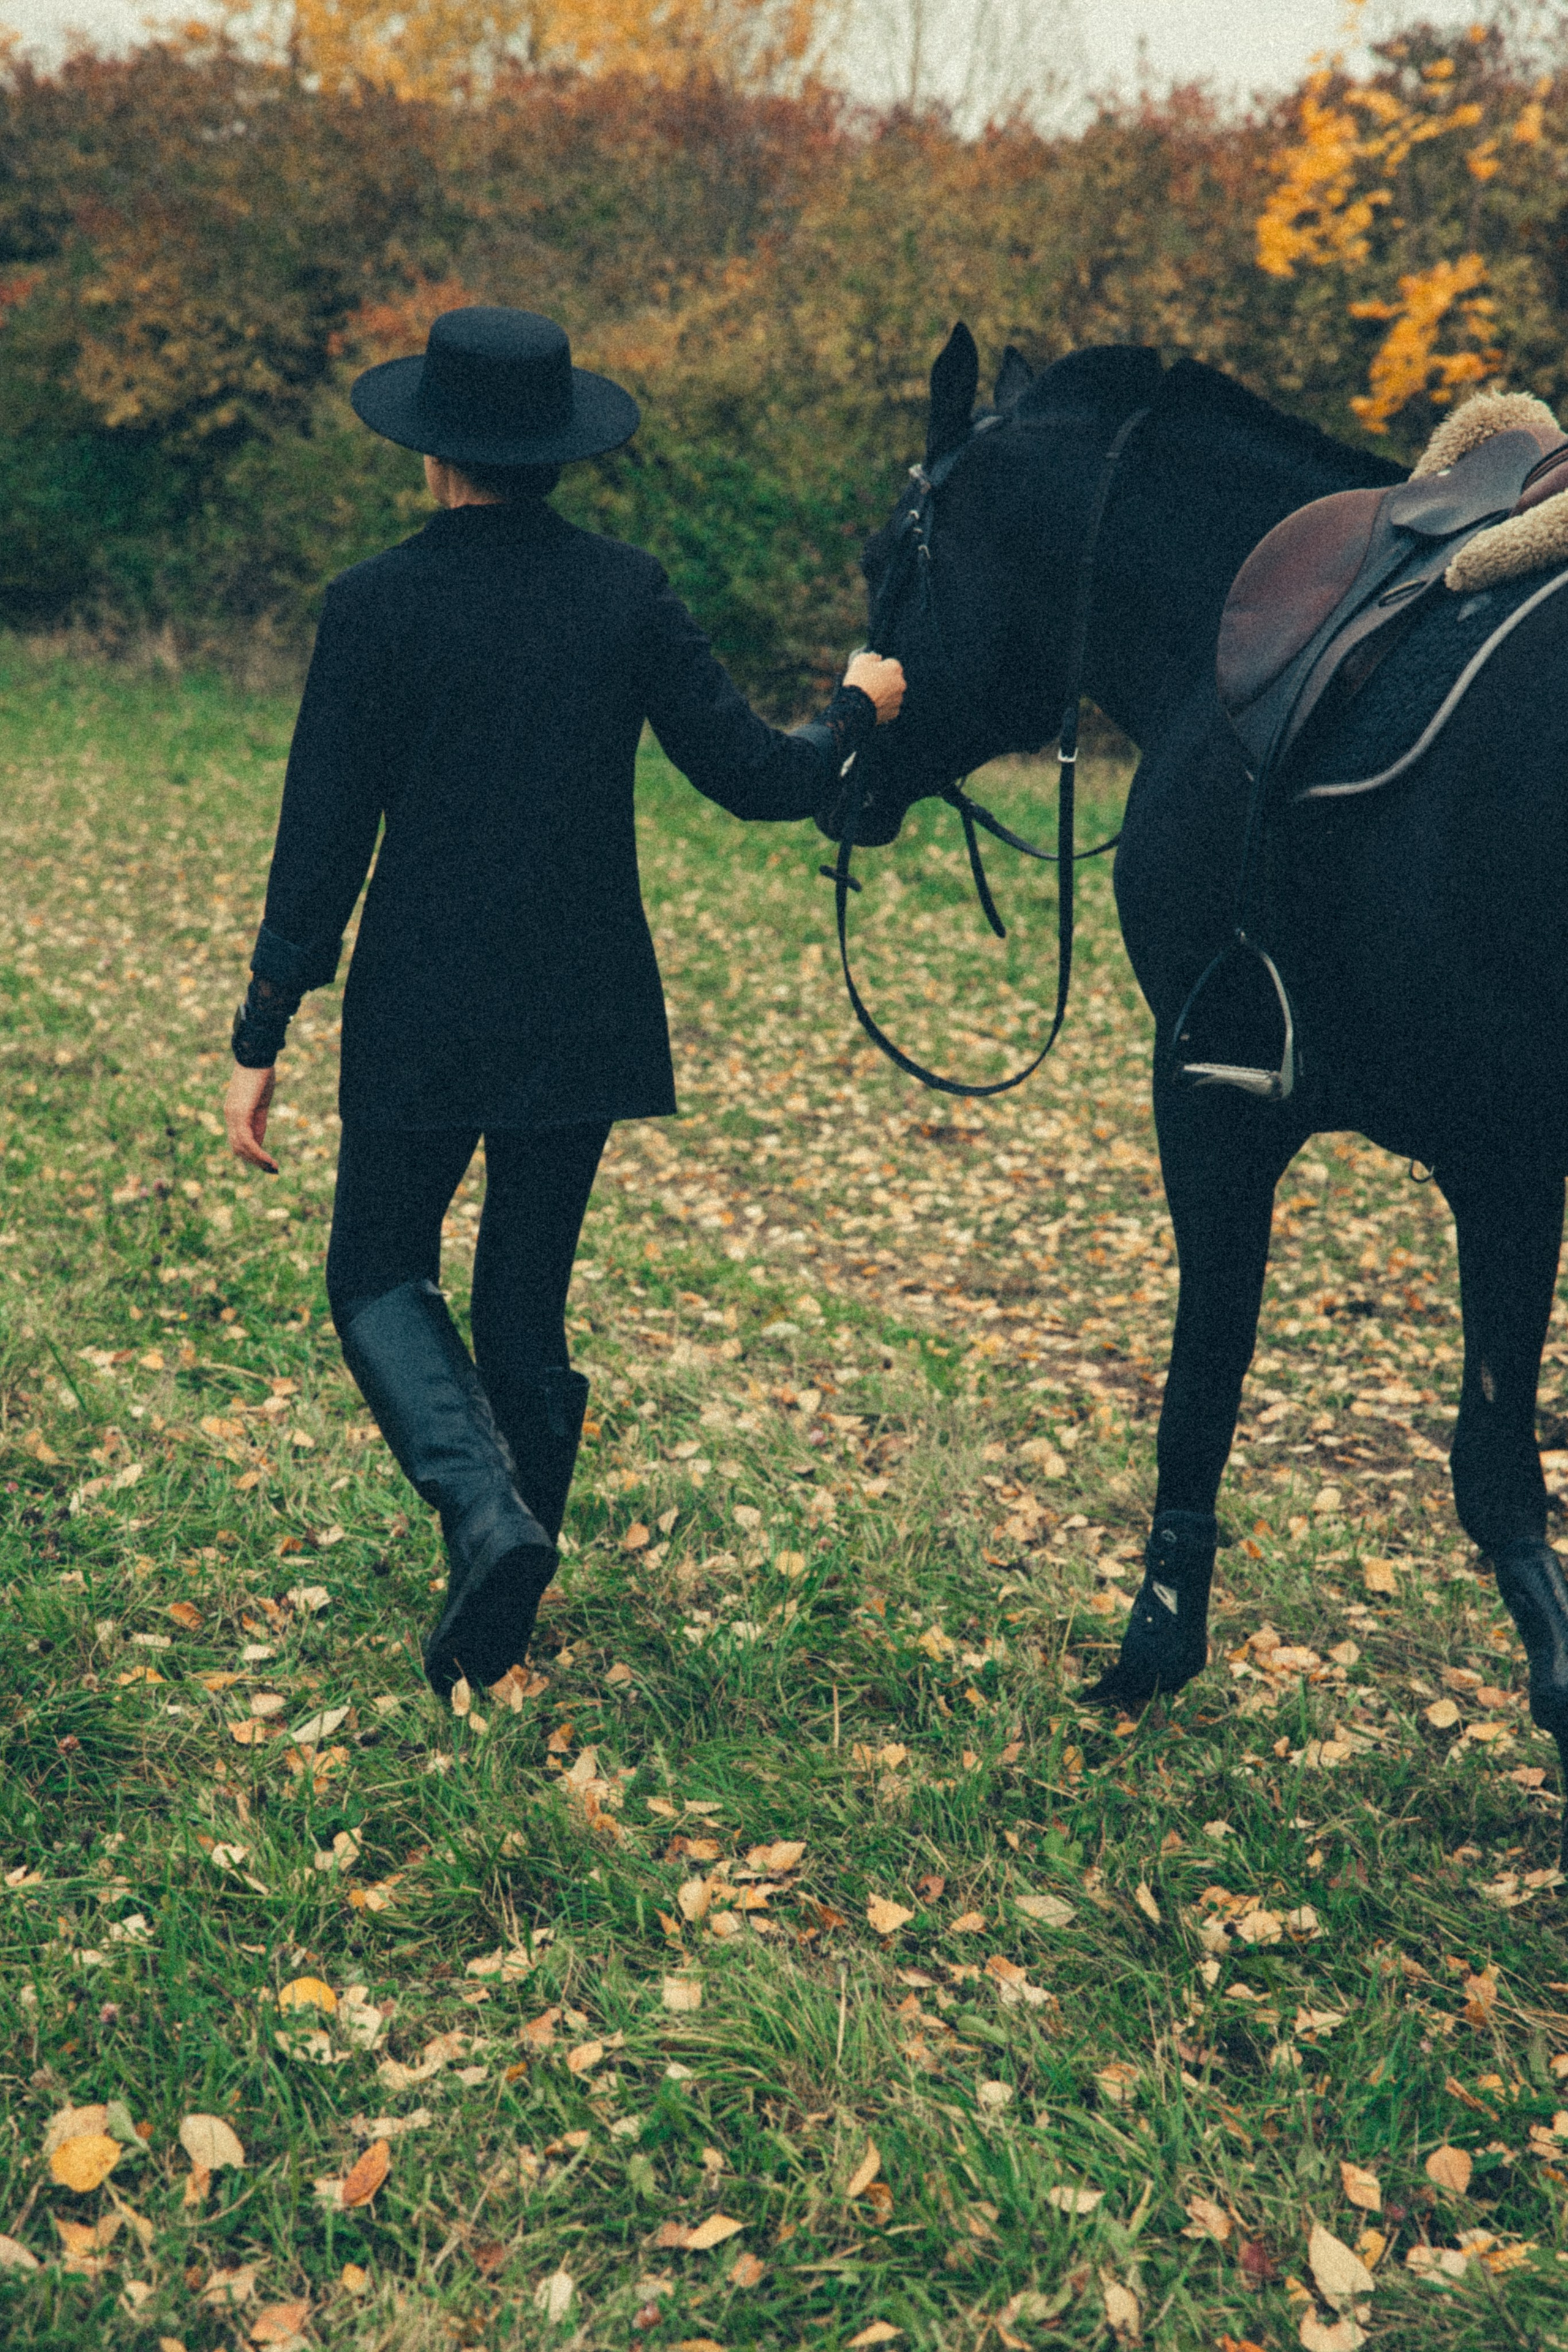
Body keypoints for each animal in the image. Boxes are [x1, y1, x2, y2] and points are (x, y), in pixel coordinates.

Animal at [833, 325, 1568, 1859]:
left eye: (892, 554)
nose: (840, 760)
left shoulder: (1219, 1092)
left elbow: (1208, 1375)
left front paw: (1152, 1644)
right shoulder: (1511, 1162)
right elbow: (1494, 1460)